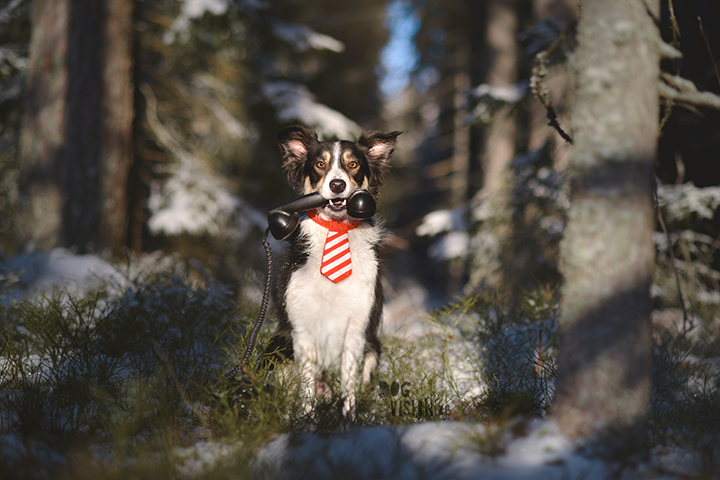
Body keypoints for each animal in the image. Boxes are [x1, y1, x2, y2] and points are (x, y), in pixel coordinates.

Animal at [264, 124, 402, 420]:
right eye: (320, 164)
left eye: (353, 164)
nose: (337, 185)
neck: (336, 229)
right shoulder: (301, 329)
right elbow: (306, 386)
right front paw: (306, 422)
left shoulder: (356, 328)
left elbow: (349, 383)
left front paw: (347, 421)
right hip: (278, 347)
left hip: (374, 347)